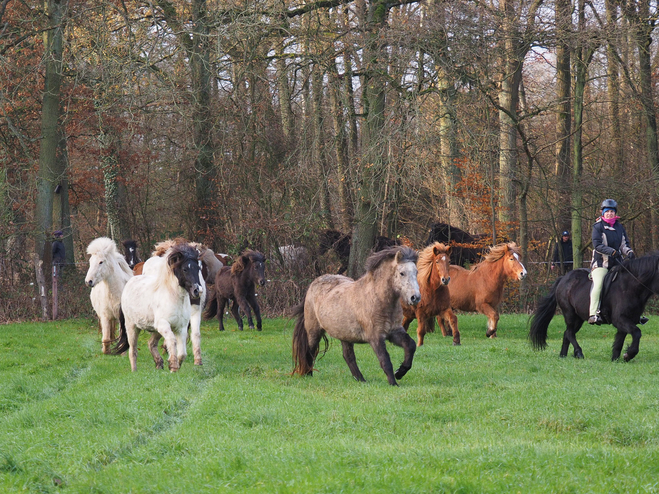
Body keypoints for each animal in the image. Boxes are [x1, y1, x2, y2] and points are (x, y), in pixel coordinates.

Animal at [113, 241, 202, 372]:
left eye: (198, 268)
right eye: (185, 269)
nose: (197, 291)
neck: (174, 298)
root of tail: (130, 282)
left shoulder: (180, 327)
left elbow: (182, 353)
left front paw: (173, 365)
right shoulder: (164, 325)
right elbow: (172, 341)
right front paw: (173, 366)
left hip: (155, 329)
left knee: (151, 343)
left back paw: (159, 364)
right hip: (132, 327)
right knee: (133, 350)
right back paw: (134, 371)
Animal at [292, 246, 420, 386]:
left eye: (416, 272)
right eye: (402, 273)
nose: (415, 297)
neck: (378, 299)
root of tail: (313, 284)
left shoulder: (394, 332)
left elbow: (411, 345)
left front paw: (400, 372)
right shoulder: (375, 337)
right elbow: (385, 361)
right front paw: (394, 383)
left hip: (344, 335)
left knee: (348, 356)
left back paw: (361, 380)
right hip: (314, 331)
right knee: (310, 351)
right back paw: (308, 375)